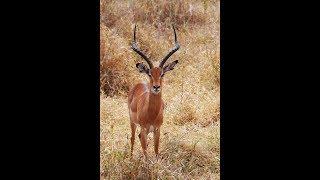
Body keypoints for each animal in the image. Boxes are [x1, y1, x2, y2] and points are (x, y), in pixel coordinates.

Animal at [129, 24, 181, 159]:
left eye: (162, 74)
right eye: (150, 74)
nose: (156, 87)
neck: (152, 113)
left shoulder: (157, 130)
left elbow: (156, 152)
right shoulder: (144, 128)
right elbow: (146, 155)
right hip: (132, 122)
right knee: (132, 138)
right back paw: (130, 158)